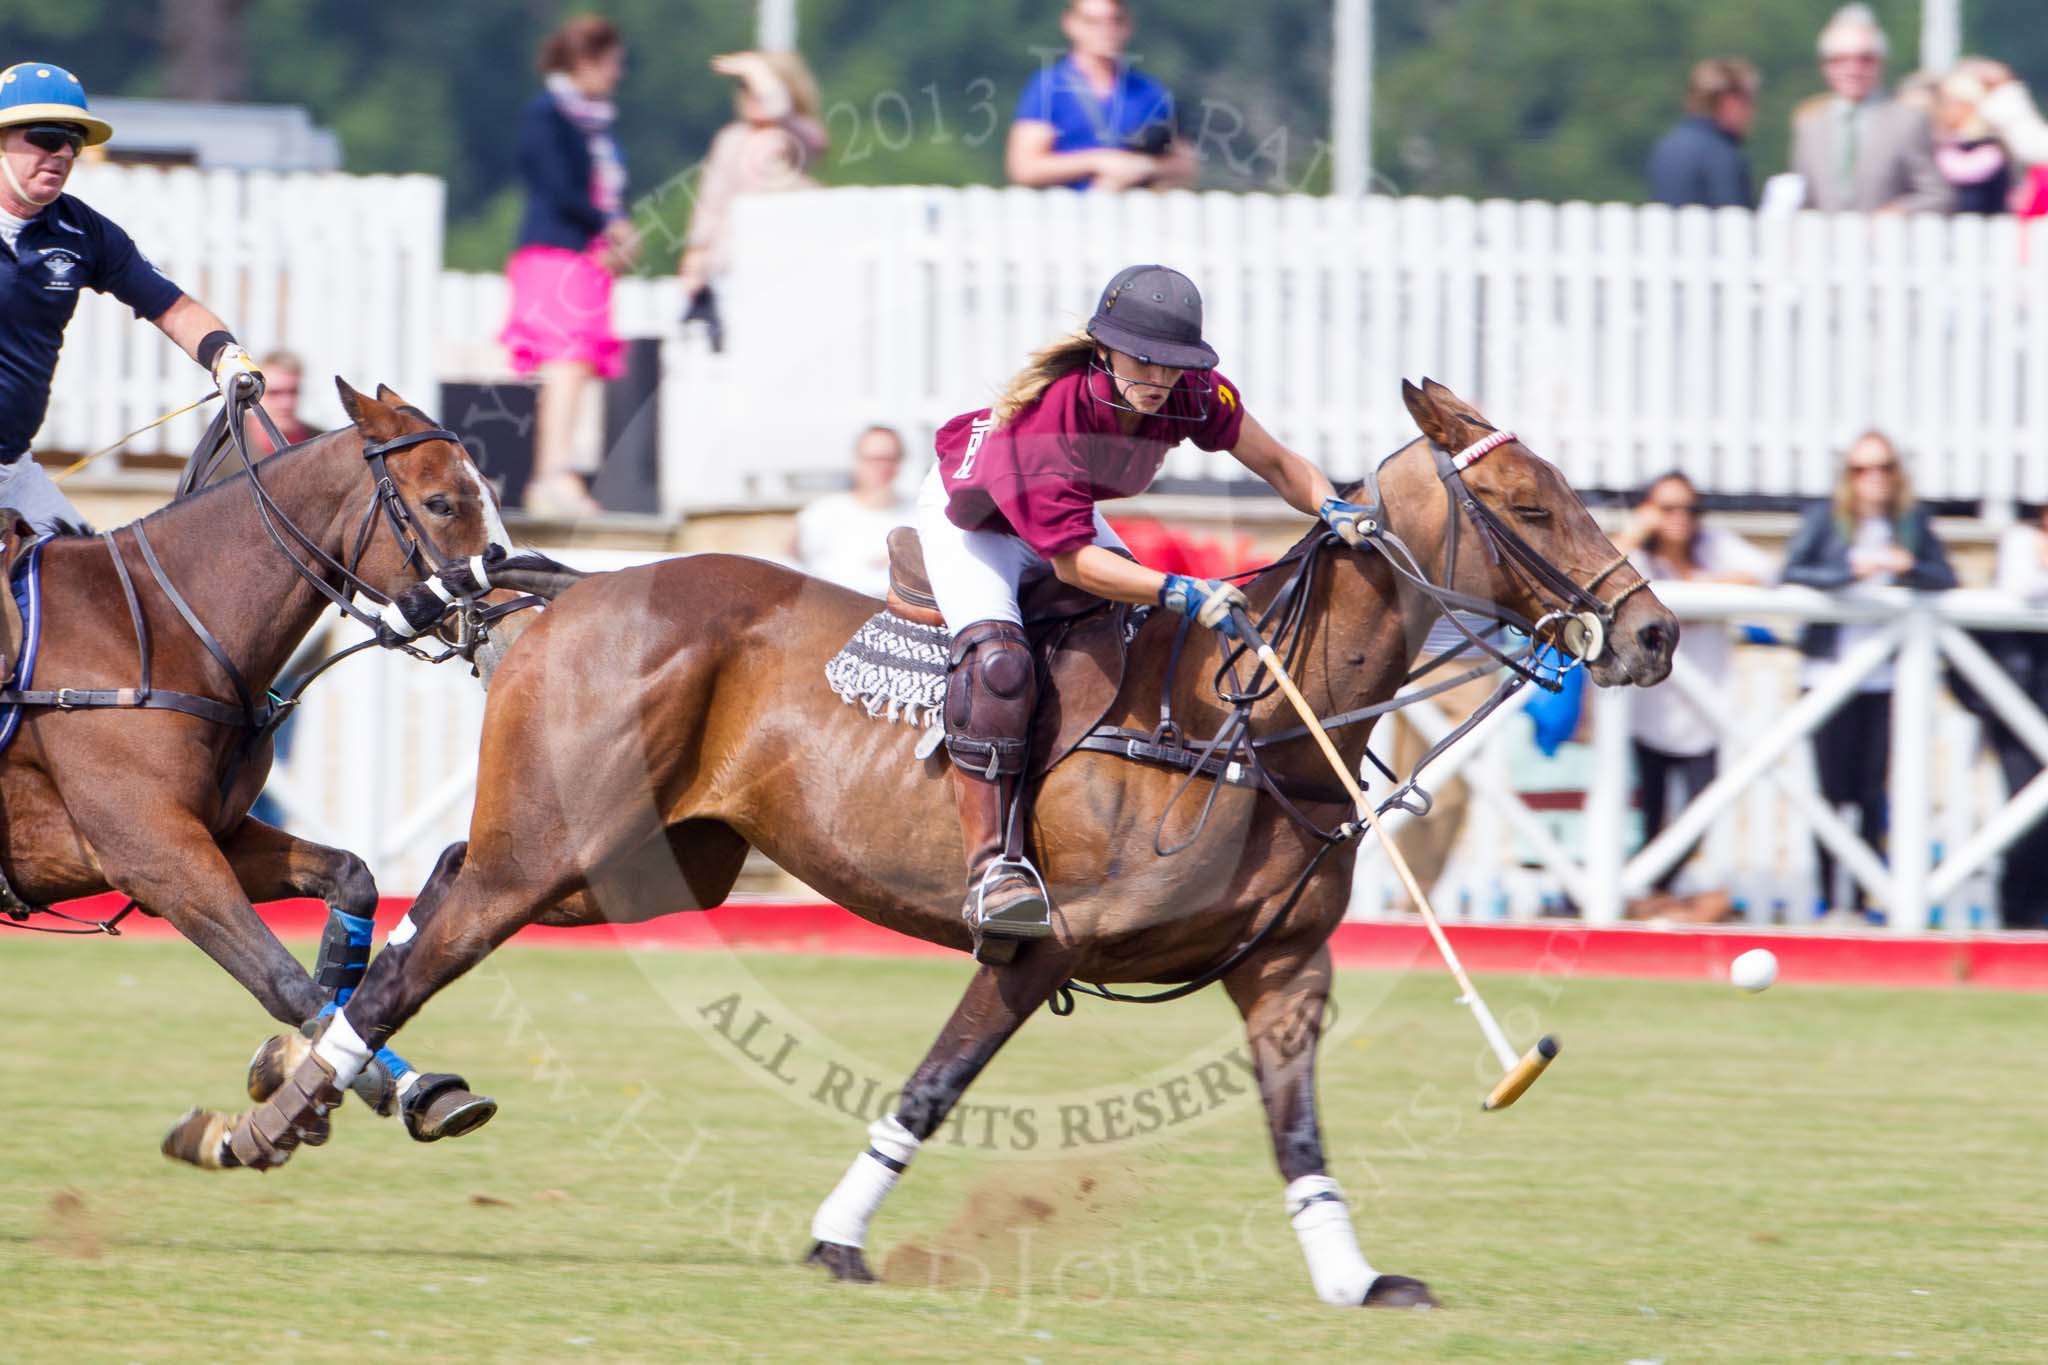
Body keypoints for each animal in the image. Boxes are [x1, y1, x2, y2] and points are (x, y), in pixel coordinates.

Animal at [203, 378, 1679, 1309]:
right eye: (1531, 510)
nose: (1658, 632)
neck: (1248, 718)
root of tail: (563, 595)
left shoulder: (1284, 972)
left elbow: (1295, 1130)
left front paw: (1357, 1277)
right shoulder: (1039, 948)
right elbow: (931, 1085)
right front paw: (836, 1240)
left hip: (637, 861)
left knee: (438, 891)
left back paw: (295, 1076)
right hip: (554, 853)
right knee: (430, 946)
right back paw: (273, 1119)